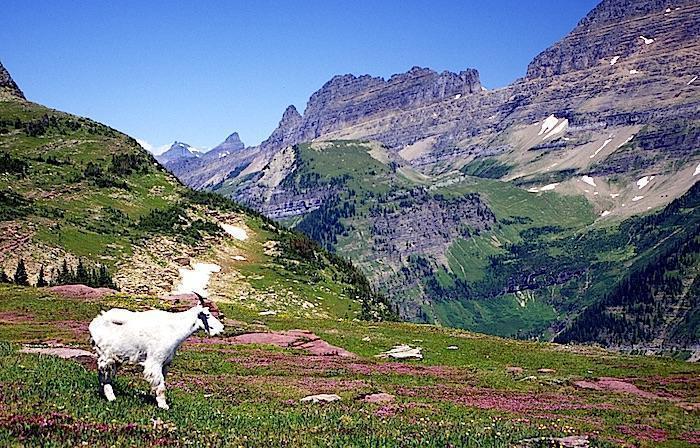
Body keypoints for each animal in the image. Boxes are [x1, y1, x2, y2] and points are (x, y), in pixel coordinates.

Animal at [89, 292, 223, 412]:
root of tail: (95, 323)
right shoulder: (155, 362)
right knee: (104, 374)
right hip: (106, 356)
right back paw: (111, 398)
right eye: (207, 314)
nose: (221, 329)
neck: (174, 329)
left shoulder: (165, 364)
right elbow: (161, 386)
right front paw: (164, 406)